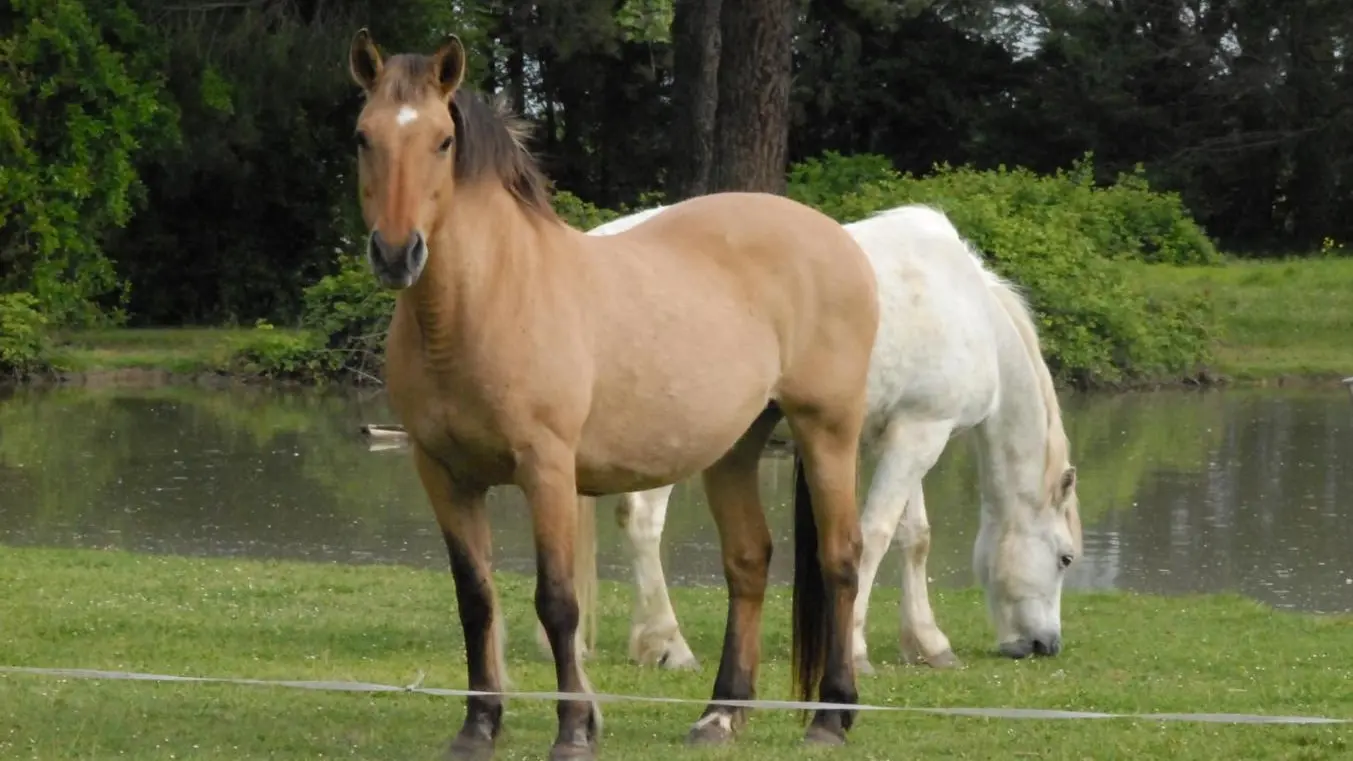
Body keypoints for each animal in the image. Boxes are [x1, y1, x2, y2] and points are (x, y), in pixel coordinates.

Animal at [538, 201, 1076, 668]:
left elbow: (914, 537)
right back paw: (670, 644)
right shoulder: (921, 434)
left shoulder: (907, 433)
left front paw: (927, 642)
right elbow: (875, 535)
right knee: (643, 521)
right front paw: (855, 648)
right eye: (1066, 558)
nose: (1045, 644)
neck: (966, 305)